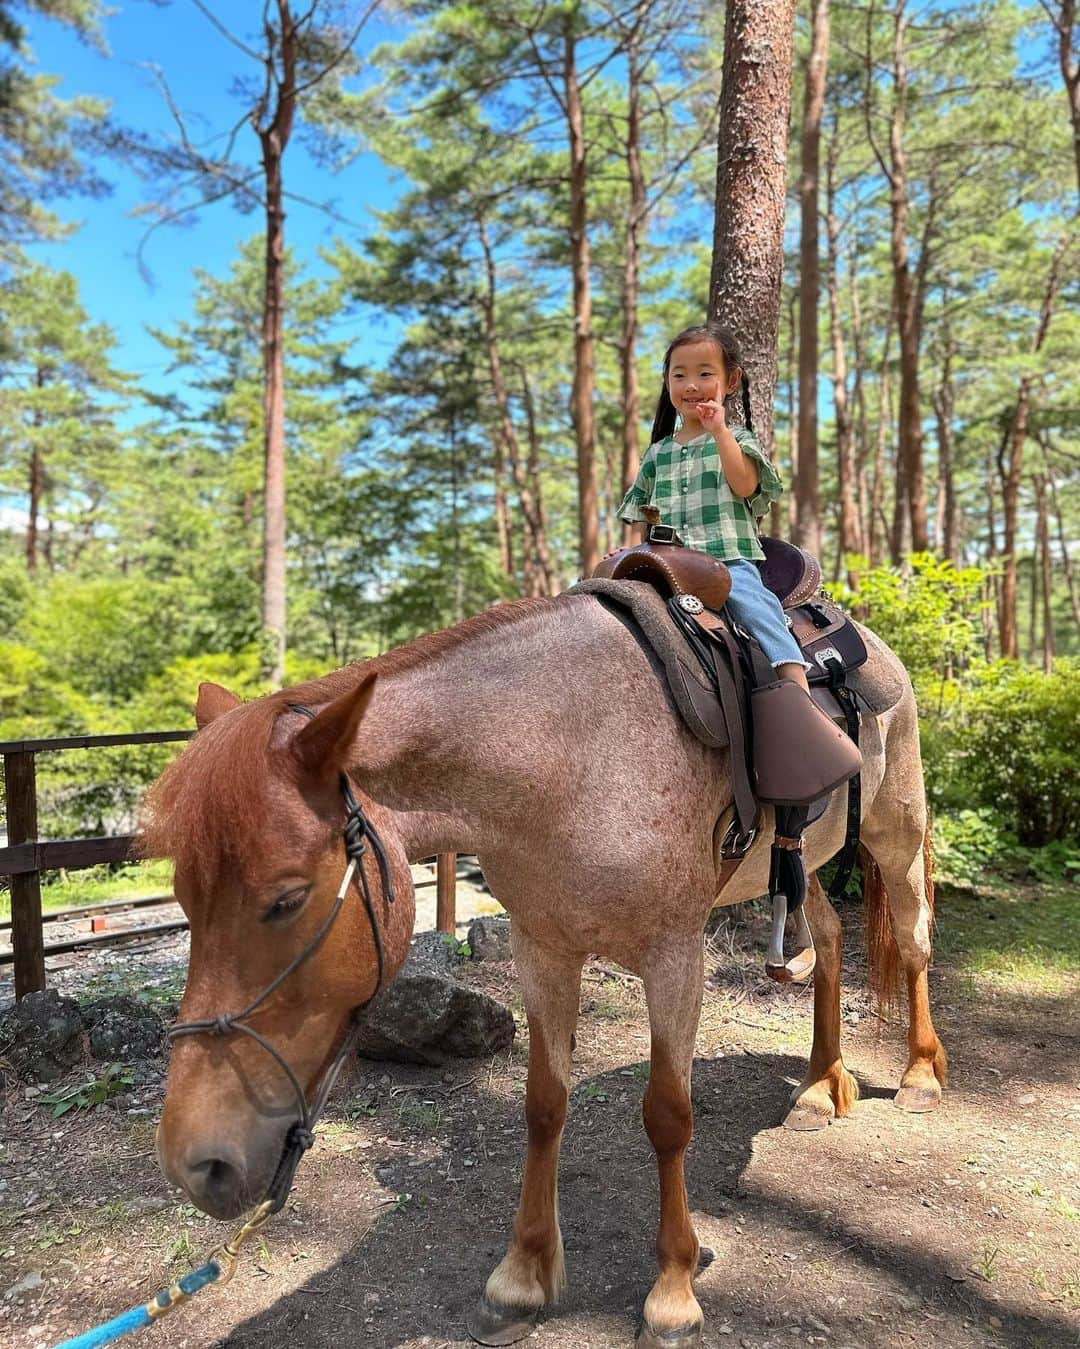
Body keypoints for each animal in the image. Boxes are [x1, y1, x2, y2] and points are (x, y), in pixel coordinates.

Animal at [142, 593, 943, 1349]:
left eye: (286, 899)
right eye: (184, 896)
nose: (195, 1162)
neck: (570, 755)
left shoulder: (675, 955)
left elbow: (668, 1115)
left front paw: (672, 1294)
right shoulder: (543, 947)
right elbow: (544, 1105)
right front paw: (521, 1278)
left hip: (895, 830)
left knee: (913, 942)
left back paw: (919, 1077)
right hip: (801, 866)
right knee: (832, 940)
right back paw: (819, 1085)